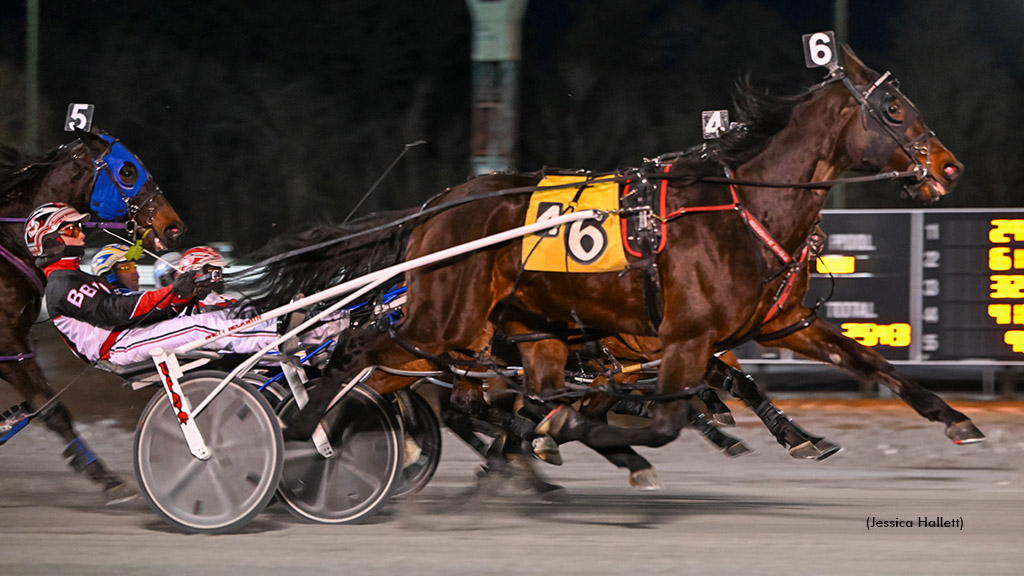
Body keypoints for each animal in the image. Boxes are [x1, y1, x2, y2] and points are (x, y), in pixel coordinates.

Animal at [290, 44, 983, 457]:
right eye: (894, 108)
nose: (949, 167)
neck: (744, 208)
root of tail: (437, 206)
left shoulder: (780, 322)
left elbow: (871, 363)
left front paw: (953, 417)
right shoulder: (685, 338)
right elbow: (662, 419)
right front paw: (566, 430)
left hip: (516, 332)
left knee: (440, 385)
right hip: (441, 321)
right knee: (358, 353)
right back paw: (304, 429)